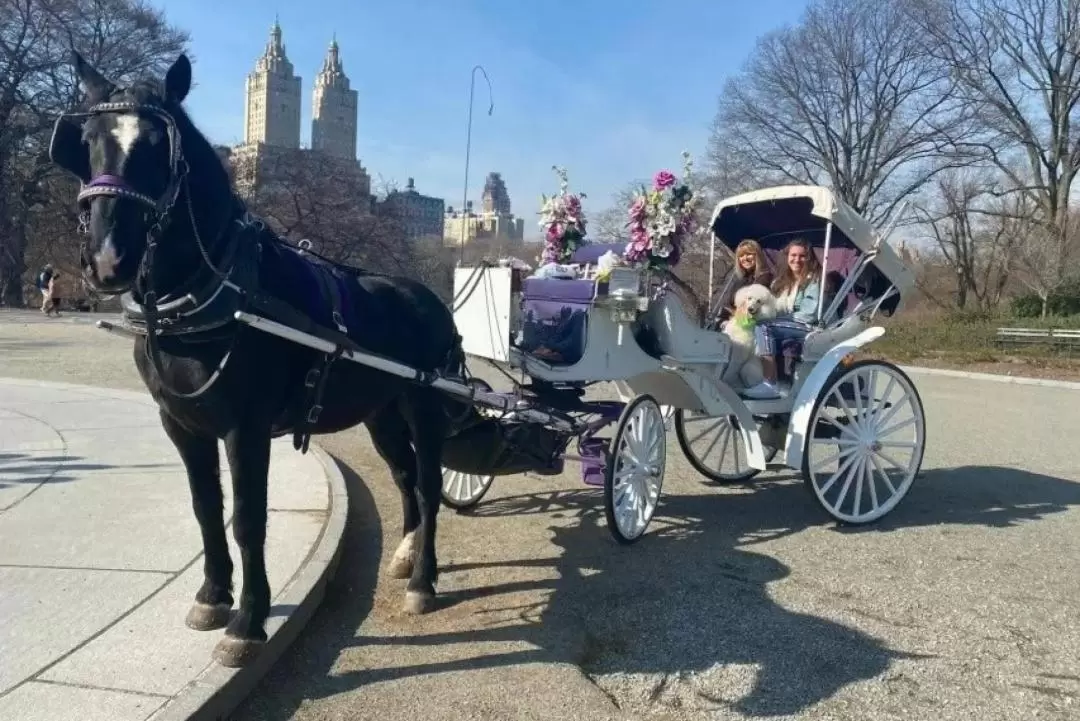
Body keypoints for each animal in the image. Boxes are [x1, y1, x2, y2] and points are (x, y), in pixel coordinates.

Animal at [51, 52, 468, 669]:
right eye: (85, 141)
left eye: (158, 146)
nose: (108, 260)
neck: (215, 291)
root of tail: (429, 296)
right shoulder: (181, 425)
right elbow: (206, 508)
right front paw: (211, 596)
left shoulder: (244, 429)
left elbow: (248, 518)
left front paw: (247, 622)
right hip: (381, 412)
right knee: (405, 476)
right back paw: (406, 554)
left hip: (423, 405)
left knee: (430, 483)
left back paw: (423, 580)